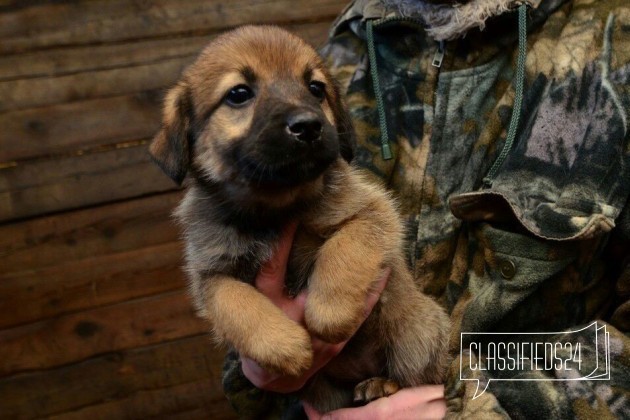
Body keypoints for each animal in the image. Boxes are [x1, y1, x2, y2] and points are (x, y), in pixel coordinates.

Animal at [151, 24, 452, 412]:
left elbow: (344, 250)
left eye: (316, 88)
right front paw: (286, 347)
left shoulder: (374, 212)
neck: (275, 208)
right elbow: (236, 305)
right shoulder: (212, 275)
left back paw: (383, 384)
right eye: (238, 94)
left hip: (416, 332)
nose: (308, 127)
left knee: (422, 376)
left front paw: (328, 315)